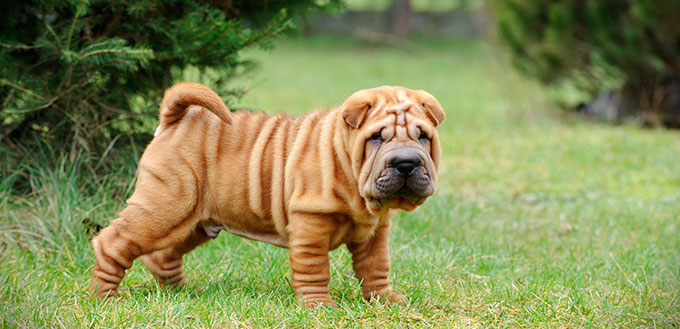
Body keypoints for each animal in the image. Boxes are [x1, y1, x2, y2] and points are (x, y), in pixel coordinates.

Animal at [93, 80, 448, 306]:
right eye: (376, 137)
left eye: (422, 136)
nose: (406, 163)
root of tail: (173, 120)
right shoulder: (310, 223)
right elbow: (315, 269)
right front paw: (319, 307)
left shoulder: (375, 231)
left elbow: (376, 266)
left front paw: (386, 300)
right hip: (166, 204)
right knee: (113, 242)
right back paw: (106, 298)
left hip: (194, 220)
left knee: (163, 254)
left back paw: (179, 293)